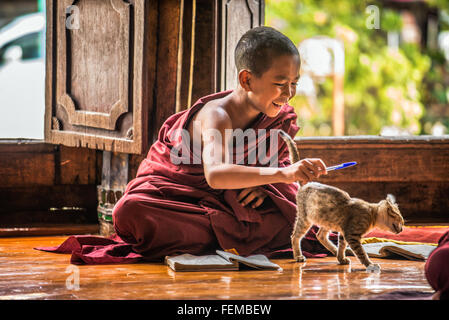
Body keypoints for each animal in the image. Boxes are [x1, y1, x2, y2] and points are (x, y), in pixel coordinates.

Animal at [278, 130, 404, 272]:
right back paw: (298, 256)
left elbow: (342, 246)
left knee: (320, 235)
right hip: (305, 219)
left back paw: (334, 250)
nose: (402, 230)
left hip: (326, 219)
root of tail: (306, 184)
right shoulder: (352, 235)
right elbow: (361, 253)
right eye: (400, 220)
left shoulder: (344, 233)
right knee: (295, 236)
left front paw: (341, 258)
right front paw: (370, 265)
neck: (372, 213)